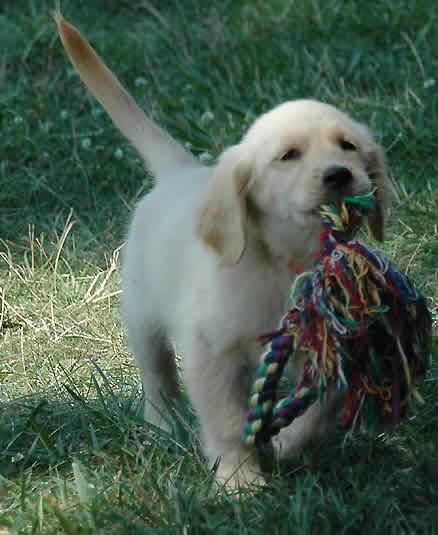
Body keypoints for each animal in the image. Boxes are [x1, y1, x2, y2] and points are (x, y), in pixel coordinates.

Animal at [55, 13, 390, 490]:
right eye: (288, 156)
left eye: (348, 146)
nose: (339, 174)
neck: (284, 262)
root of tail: (180, 173)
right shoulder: (210, 353)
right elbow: (227, 421)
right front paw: (239, 480)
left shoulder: (330, 344)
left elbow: (324, 405)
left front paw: (289, 443)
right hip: (142, 315)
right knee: (158, 378)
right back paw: (162, 425)